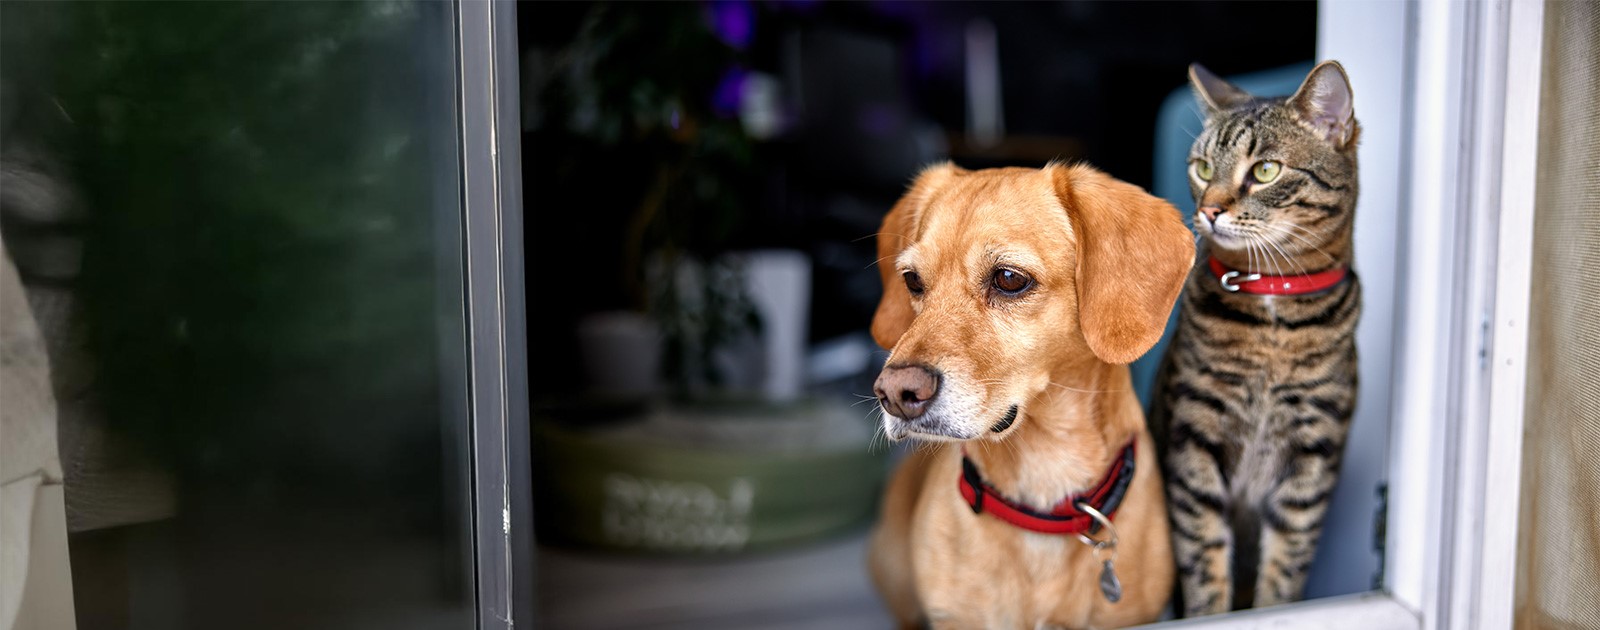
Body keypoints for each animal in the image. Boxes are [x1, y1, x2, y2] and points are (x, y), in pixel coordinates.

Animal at [1152, 60, 1363, 614]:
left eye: (1265, 171)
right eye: (1203, 168)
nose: (1209, 210)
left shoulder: (1313, 450)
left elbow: (1286, 563)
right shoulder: (1194, 435)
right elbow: (1202, 553)